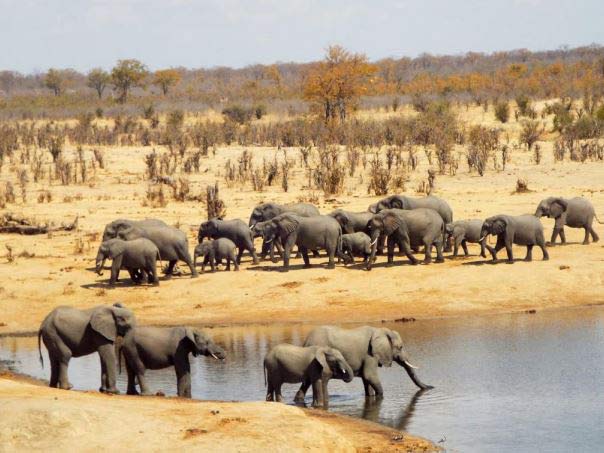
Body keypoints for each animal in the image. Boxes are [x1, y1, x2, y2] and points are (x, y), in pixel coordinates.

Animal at [294, 324, 432, 400]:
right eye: (400, 347)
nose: (432, 387)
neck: (381, 330)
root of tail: (306, 341)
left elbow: (367, 380)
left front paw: (371, 397)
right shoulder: (369, 354)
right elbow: (369, 376)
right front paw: (380, 397)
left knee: (306, 382)